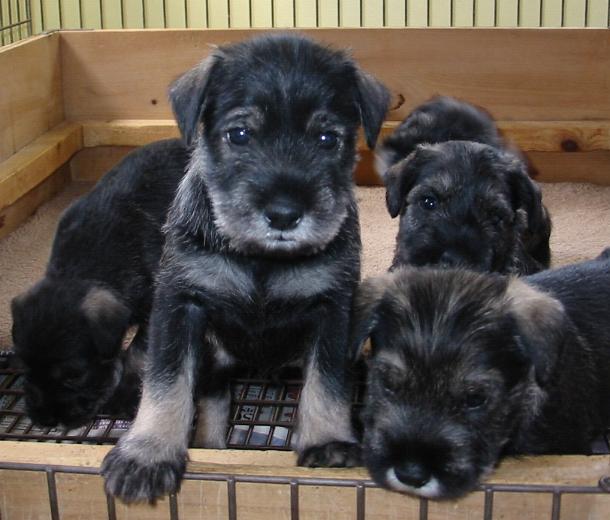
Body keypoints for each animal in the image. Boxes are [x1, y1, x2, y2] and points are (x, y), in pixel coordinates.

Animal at [10, 138, 188, 426]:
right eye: (24, 367)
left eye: (74, 375)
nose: (48, 419)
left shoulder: (154, 305)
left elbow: (138, 354)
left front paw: (124, 396)